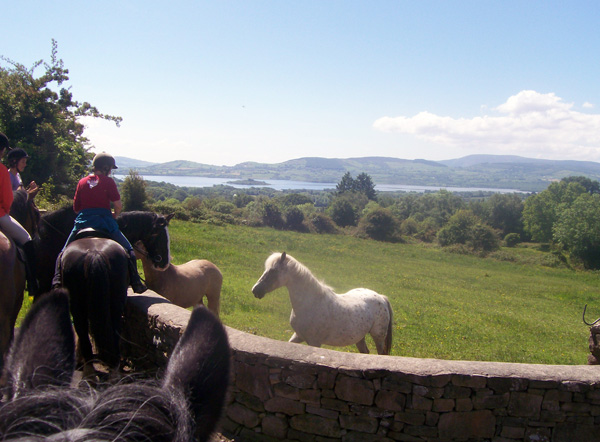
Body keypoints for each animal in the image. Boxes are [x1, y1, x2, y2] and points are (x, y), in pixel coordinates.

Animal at [252, 252, 394, 356]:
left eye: (273, 271)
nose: (255, 290)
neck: (310, 304)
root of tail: (381, 297)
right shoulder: (298, 336)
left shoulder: (314, 342)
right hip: (360, 338)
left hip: (378, 337)